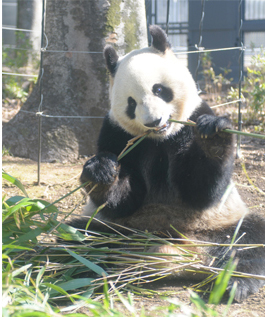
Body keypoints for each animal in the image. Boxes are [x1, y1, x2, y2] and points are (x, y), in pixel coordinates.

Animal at [69, 24, 264, 302]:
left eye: (159, 90)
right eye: (131, 102)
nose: (153, 121)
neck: (160, 139)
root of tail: (185, 255)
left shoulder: (194, 117)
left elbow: (201, 190)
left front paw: (213, 137)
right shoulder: (116, 133)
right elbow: (123, 199)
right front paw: (101, 172)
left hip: (221, 224)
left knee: (248, 239)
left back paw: (235, 283)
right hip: (119, 229)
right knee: (80, 237)